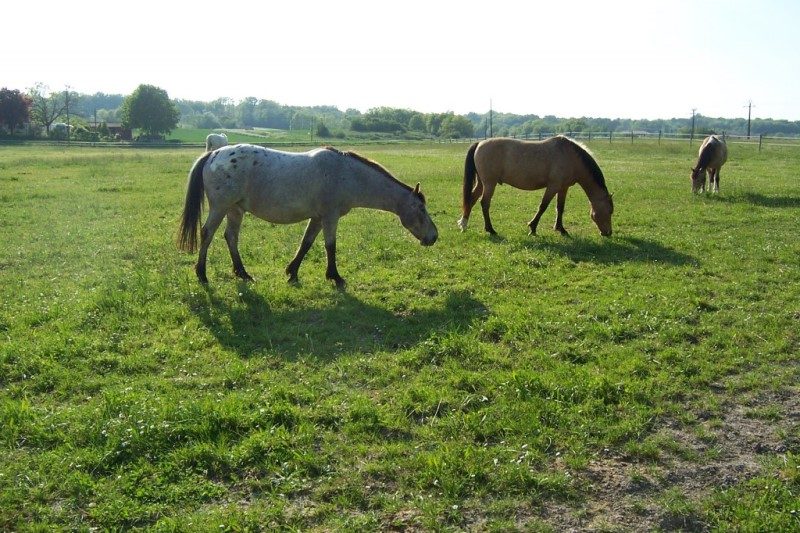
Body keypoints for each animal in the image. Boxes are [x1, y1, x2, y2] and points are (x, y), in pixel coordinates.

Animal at [177, 144, 438, 287]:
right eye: (421, 209)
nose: (434, 236)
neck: (347, 174)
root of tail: (214, 154)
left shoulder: (318, 217)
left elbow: (306, 243)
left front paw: (292, 272)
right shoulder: (330, 216)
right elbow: (330, 246)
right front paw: (335, 277)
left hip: (235, 210)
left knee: (230, 237)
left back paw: (243, 273)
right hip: (220, 207)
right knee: (207, 234)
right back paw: (202, 274)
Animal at [458, 136, 614, 237]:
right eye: (609, 211)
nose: (608, 233)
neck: (569, 156)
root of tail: (479, 143)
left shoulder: (563, 188)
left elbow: (560, 208)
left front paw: (561, 229)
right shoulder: (553, 186)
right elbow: (543, 207)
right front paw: (532, 227)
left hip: (482, 183)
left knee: (471, 200)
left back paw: (464, 224)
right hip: (489, 183)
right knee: (484, 203)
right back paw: (490, 229)